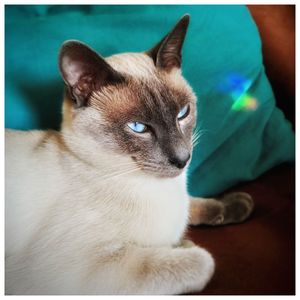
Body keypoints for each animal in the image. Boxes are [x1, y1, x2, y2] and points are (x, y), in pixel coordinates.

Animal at [5, 14, 253, 296]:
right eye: (138, 127)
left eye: (183, 113)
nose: (183, 159)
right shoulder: (82, 271)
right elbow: (200, 261)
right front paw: (183, 246)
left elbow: (196, 204)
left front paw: (237, 205)